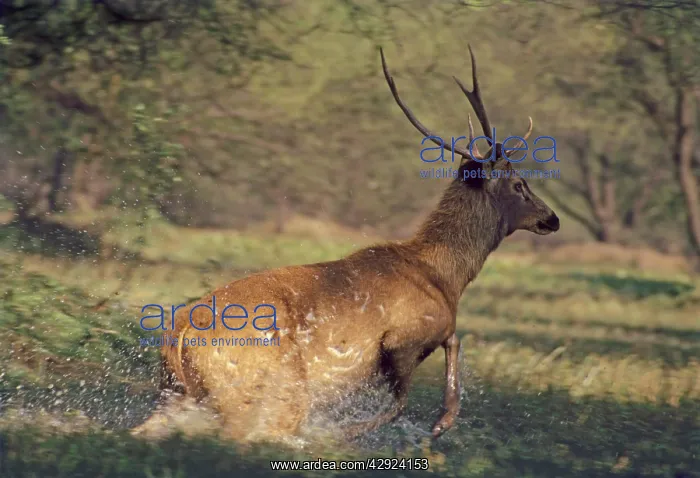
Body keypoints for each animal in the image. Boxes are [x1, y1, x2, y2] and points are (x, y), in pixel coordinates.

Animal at [132, 45, 560, 446]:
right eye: (519, 184)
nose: (552, 218)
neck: (446, 278)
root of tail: (176, 338)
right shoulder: (405, 336)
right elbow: (412, 389)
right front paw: (418, 425)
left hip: (176, 393)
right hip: (268, 386)